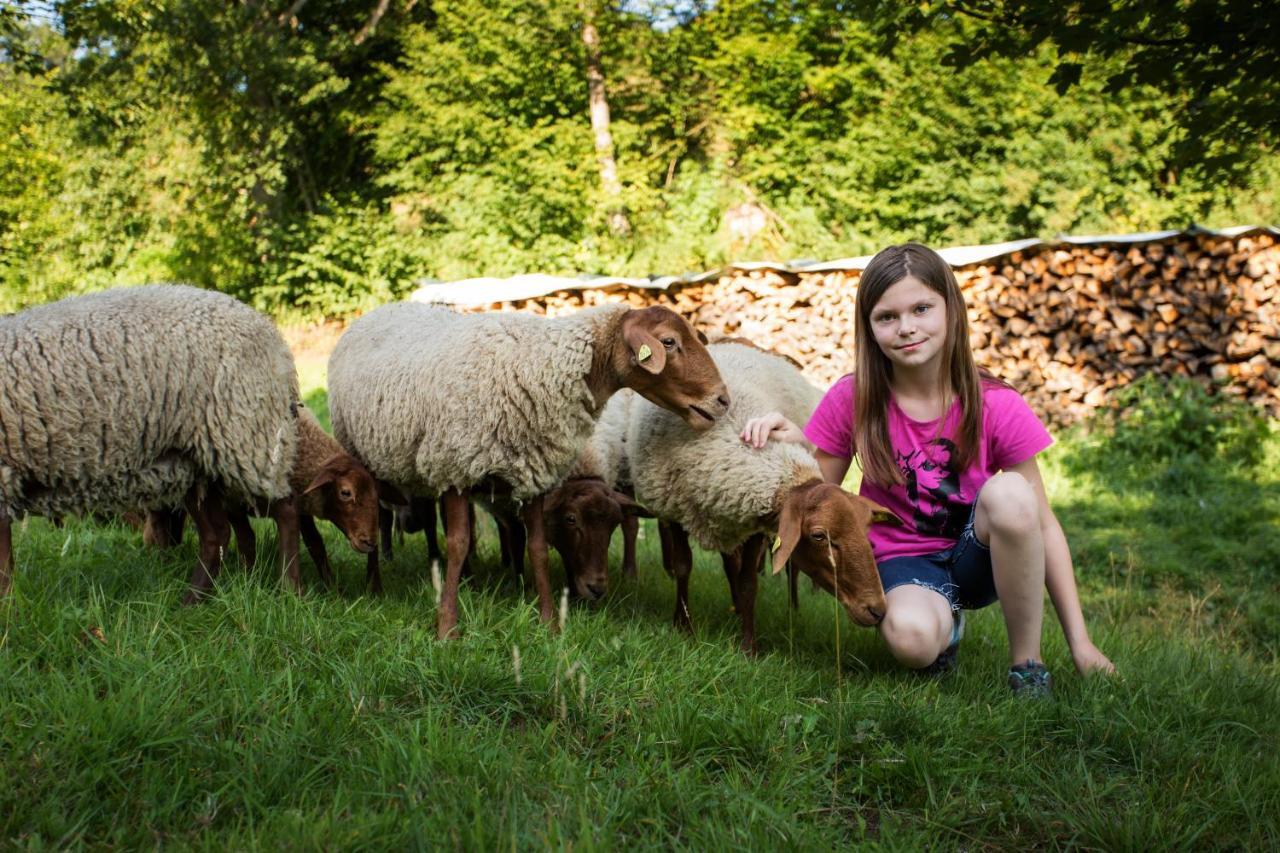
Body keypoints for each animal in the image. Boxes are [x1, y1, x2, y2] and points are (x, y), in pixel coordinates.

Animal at [0, 281, 300, 601]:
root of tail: (272, 334)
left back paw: (289, 589)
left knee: (286, 509)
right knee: (216, 533)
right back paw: (192, 601)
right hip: (196, 462)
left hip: (250, 435)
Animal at [327, 302, 732, 635]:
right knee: (377, 515)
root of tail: (380, 309)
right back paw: (375, 584)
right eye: (668, 341)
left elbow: (536, 547)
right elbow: (458, 544)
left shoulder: (537, 472)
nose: (723, 400)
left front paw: (550, 624)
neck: (546, 367)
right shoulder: (456, 467)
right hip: (363, 453)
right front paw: (447, 628)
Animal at [624, 338, 896, 650]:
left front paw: (747, 647)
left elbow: (749, 582)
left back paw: (790, 607)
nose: (878, 610)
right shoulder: (675, 511)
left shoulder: (757, 522)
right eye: (818, 536)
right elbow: (683, 567)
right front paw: (684, 628)